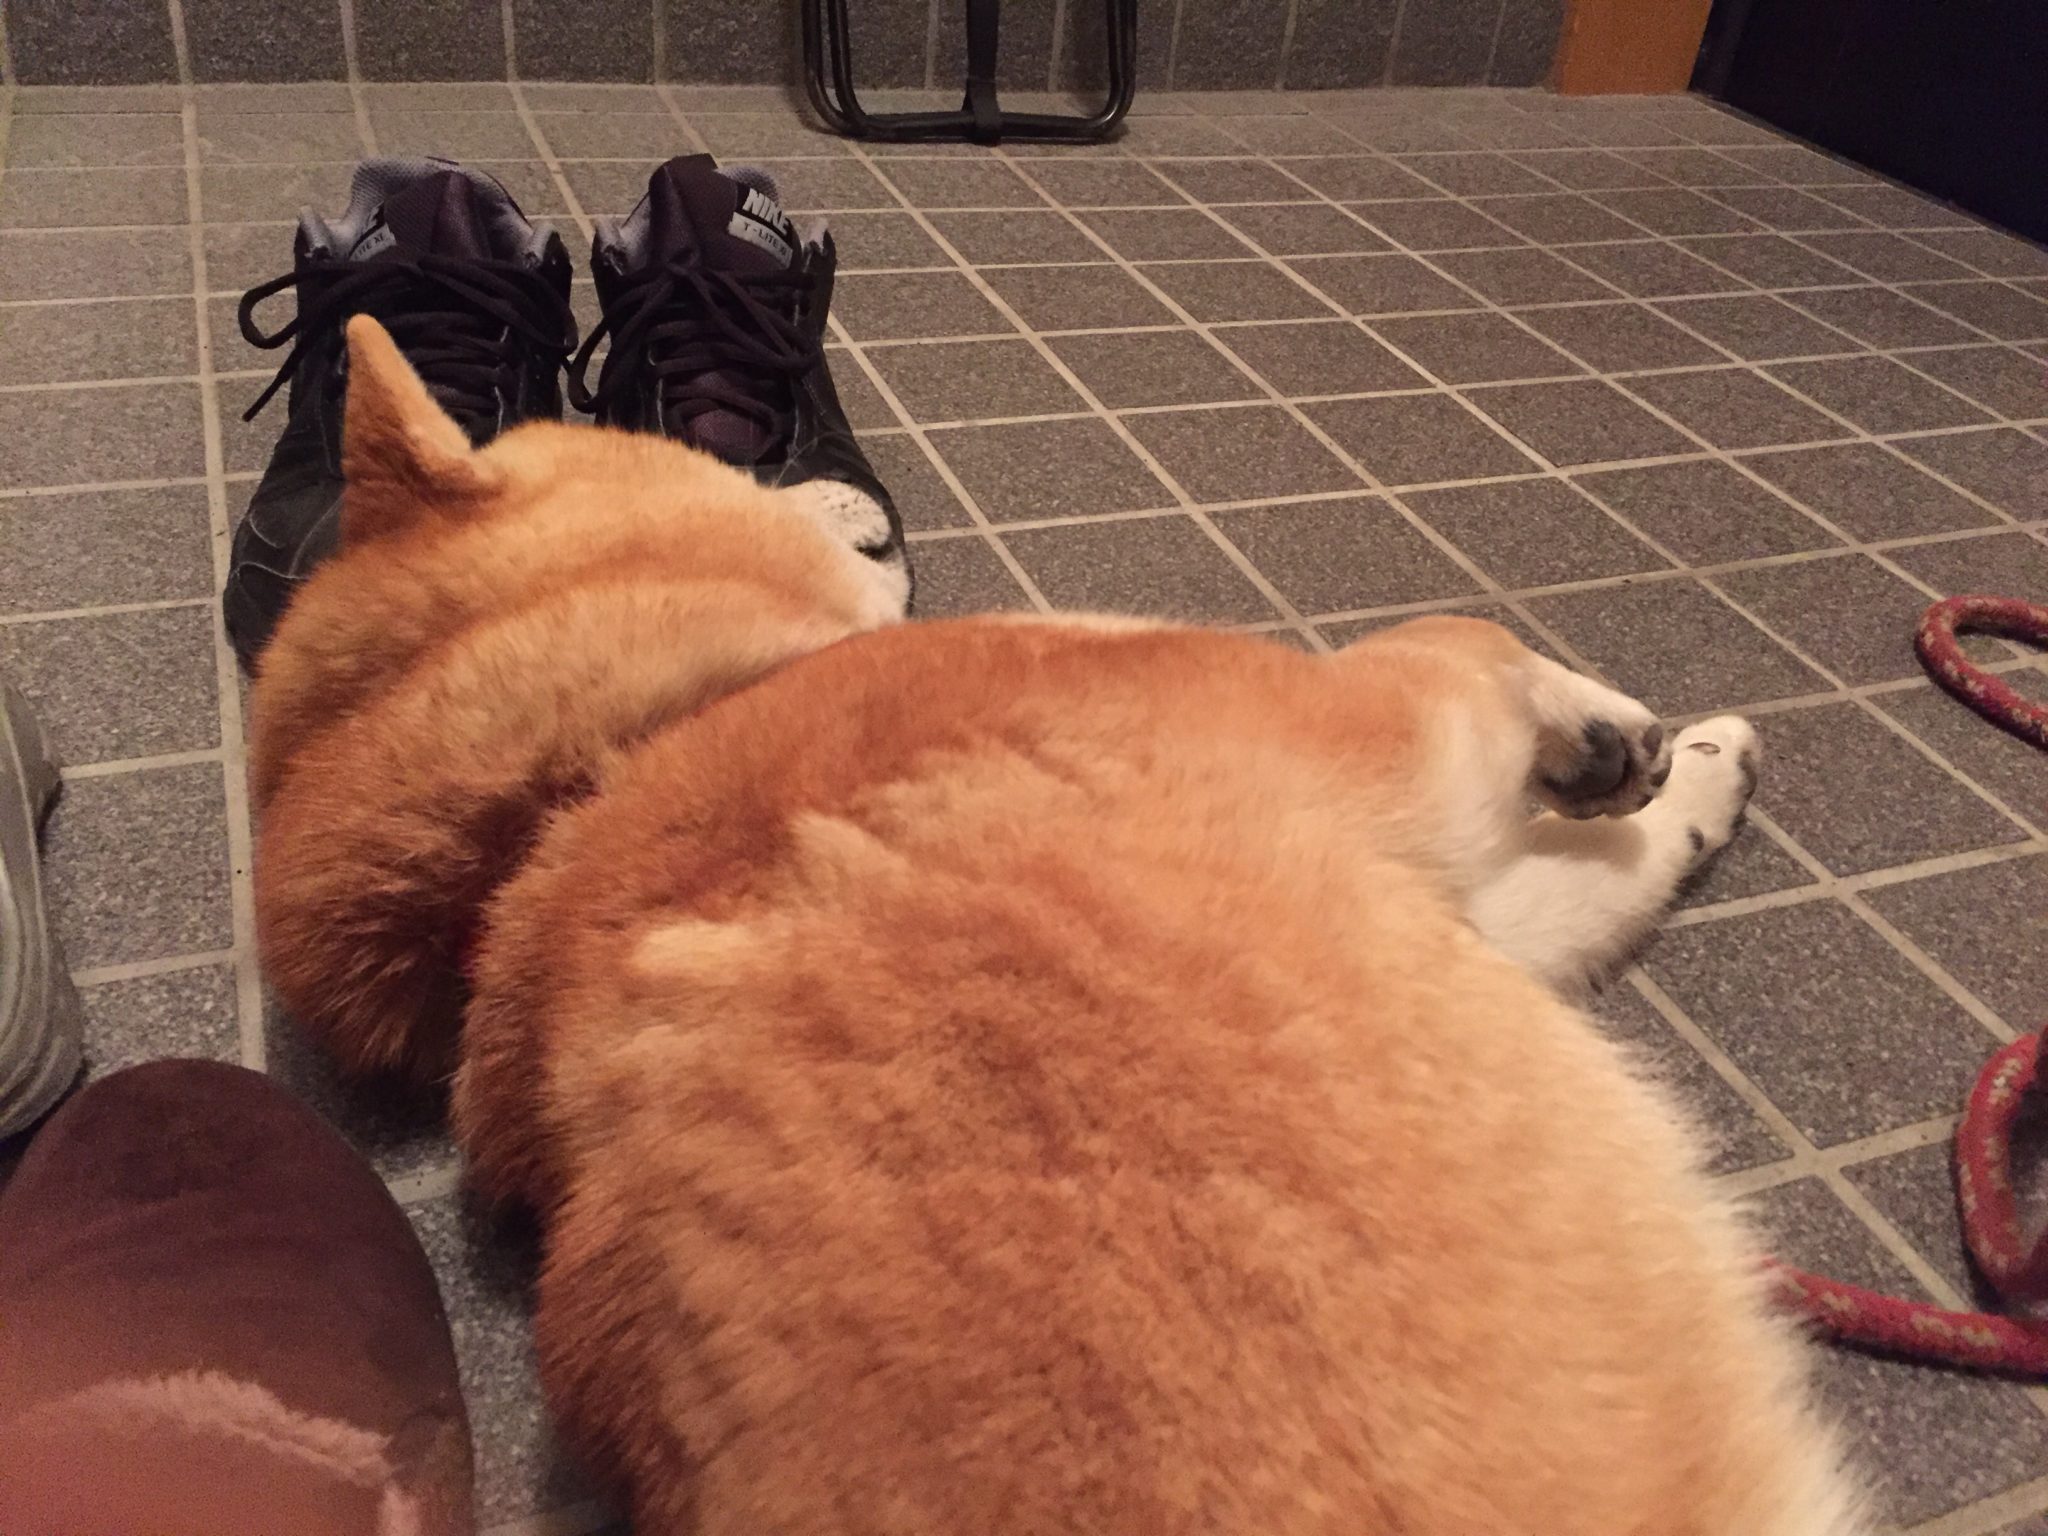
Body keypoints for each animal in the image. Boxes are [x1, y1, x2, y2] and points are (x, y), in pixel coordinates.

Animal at [249, 315, 1869, 1535]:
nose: (823, 461)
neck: (600, 779)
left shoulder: (1447, 913)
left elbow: (1603, 869)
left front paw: (1691, 784)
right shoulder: (1383, 733)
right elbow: (1472, 642)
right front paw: (1628, 737)